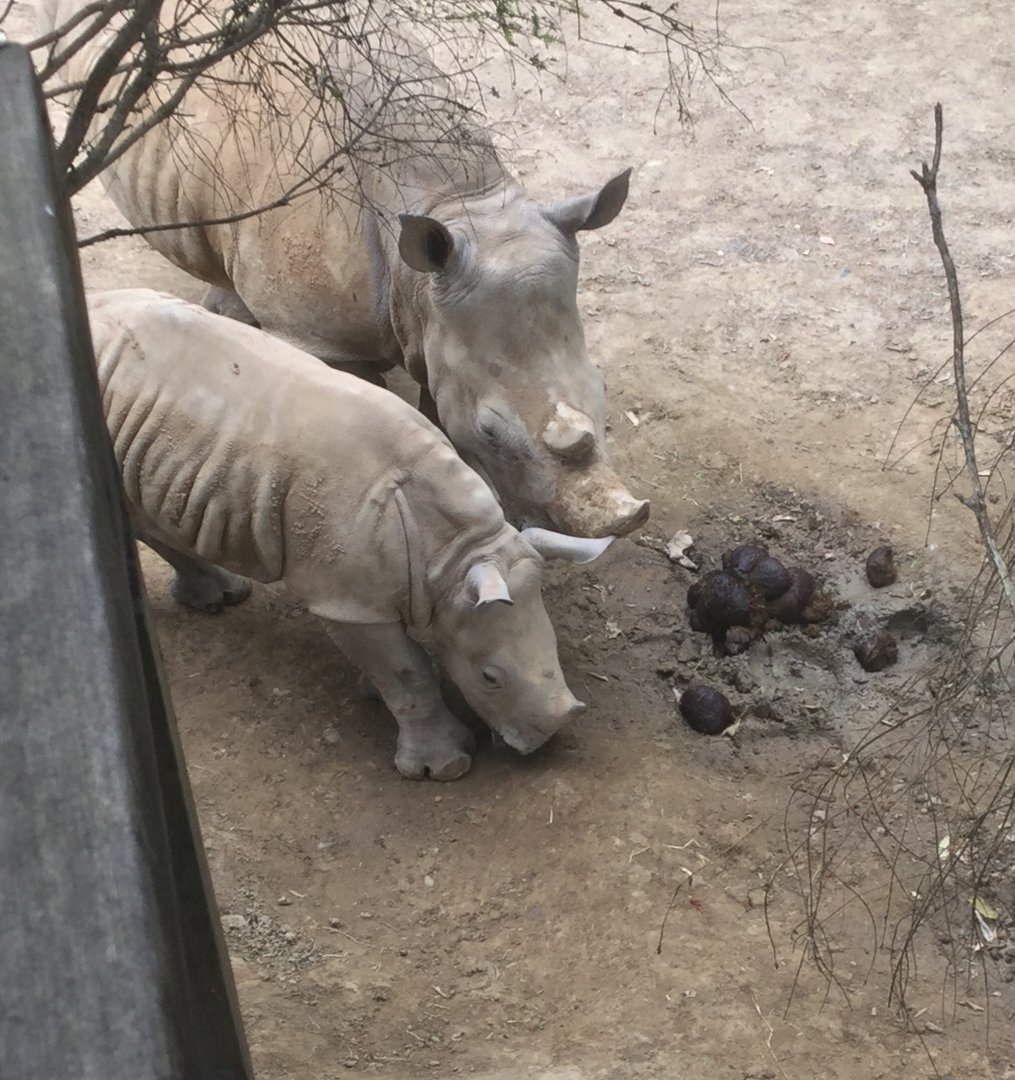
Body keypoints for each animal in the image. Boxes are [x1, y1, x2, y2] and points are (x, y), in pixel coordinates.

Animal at [39, 0, 650, 539]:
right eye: (492, 431)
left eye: (602, 385)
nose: (625, 518)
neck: (455, 204)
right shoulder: (321, 335)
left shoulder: (439, 311)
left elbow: (436, 395)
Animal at [88, 289, 615, 779]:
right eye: (490, 678)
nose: (550, 735)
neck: (454, 552)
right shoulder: (344, 598)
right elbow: (406, 670)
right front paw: (442, 768)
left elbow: (397, 658)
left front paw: (373, 690)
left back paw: (222, 597)